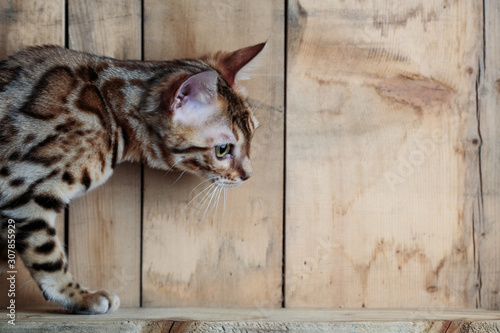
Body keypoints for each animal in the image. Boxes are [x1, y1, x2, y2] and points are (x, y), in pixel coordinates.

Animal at [0, 42, 266, 312]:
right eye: (222, 149)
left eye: (252, 135)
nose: (248, 175)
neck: (109, 111)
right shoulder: (24, 190)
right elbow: (48, 257)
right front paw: (79, 297)